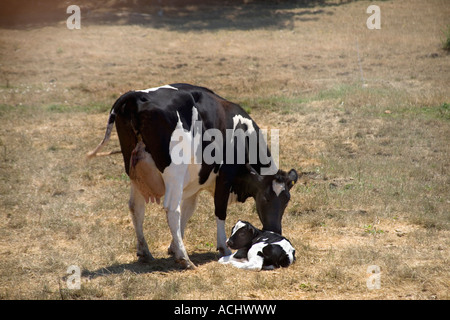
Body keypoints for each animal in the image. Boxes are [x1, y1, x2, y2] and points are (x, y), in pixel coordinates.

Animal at [87, 84, 298, 268]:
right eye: (265, 198)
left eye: (287, 199)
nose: (275, 230)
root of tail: (138, 96)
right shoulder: (224, 178)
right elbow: (219, 211)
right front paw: (222, 246)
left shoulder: (194, 184)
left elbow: (188, 211)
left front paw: (173, 246)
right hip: (174, 173)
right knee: (172, 209)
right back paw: (184, 258)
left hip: (135, 171)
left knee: (136, 207)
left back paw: (145, 252)